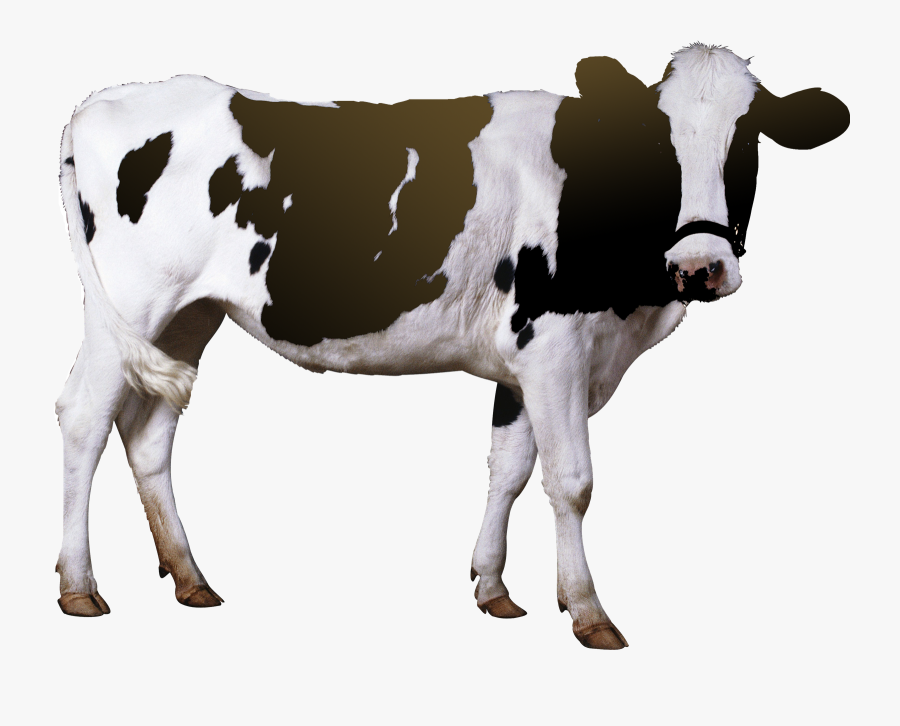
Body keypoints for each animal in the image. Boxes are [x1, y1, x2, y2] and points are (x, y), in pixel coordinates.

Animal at [56, 44, 849, 649]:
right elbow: (572, 481)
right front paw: (589, 612)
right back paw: (79, 586)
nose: (700, 267)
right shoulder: (555, 348)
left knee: (149, 433)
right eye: (657, 141)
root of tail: (104, 100)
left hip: (189, 316)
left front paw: (494, 588)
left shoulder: (527, 362)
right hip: (130, 305)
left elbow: (509, 469)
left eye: (748, 142)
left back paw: (191, 578)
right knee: (85, 419)